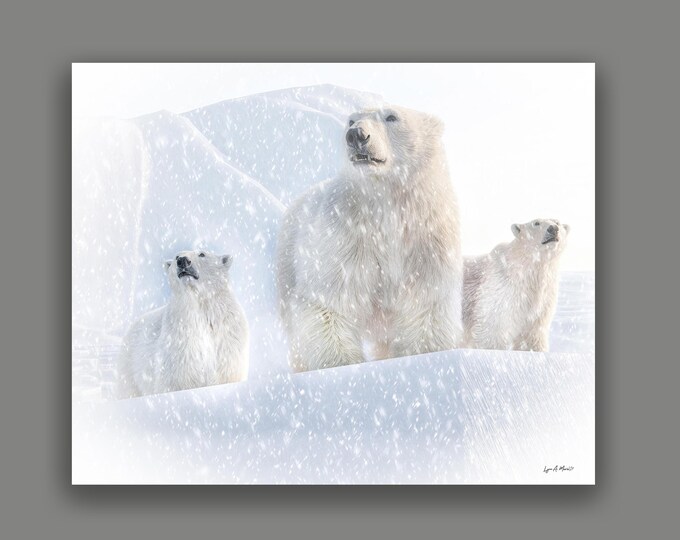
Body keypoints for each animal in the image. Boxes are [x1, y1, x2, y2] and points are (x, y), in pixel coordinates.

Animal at [116, 250, 249, 398]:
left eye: (202, 254)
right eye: (176, 256)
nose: (183, 261)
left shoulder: (227, 334)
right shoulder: (179, 342)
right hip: (130, 367)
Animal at [276, 105, 463, 373]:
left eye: (392, 116)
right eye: (351, 120)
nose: (356, 134)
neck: (386, 203)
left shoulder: (428, 236)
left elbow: (426, 297)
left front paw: (425, 353)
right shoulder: (345, 234)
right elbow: (331, 298)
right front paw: (343, 362)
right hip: (287, 266)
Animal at [462, 218, 570, 352]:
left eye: (557, 222)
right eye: (536, 223)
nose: (553, 228)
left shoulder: (544, 296)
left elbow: (533, 332)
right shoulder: (502, 288)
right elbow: (494, 327)